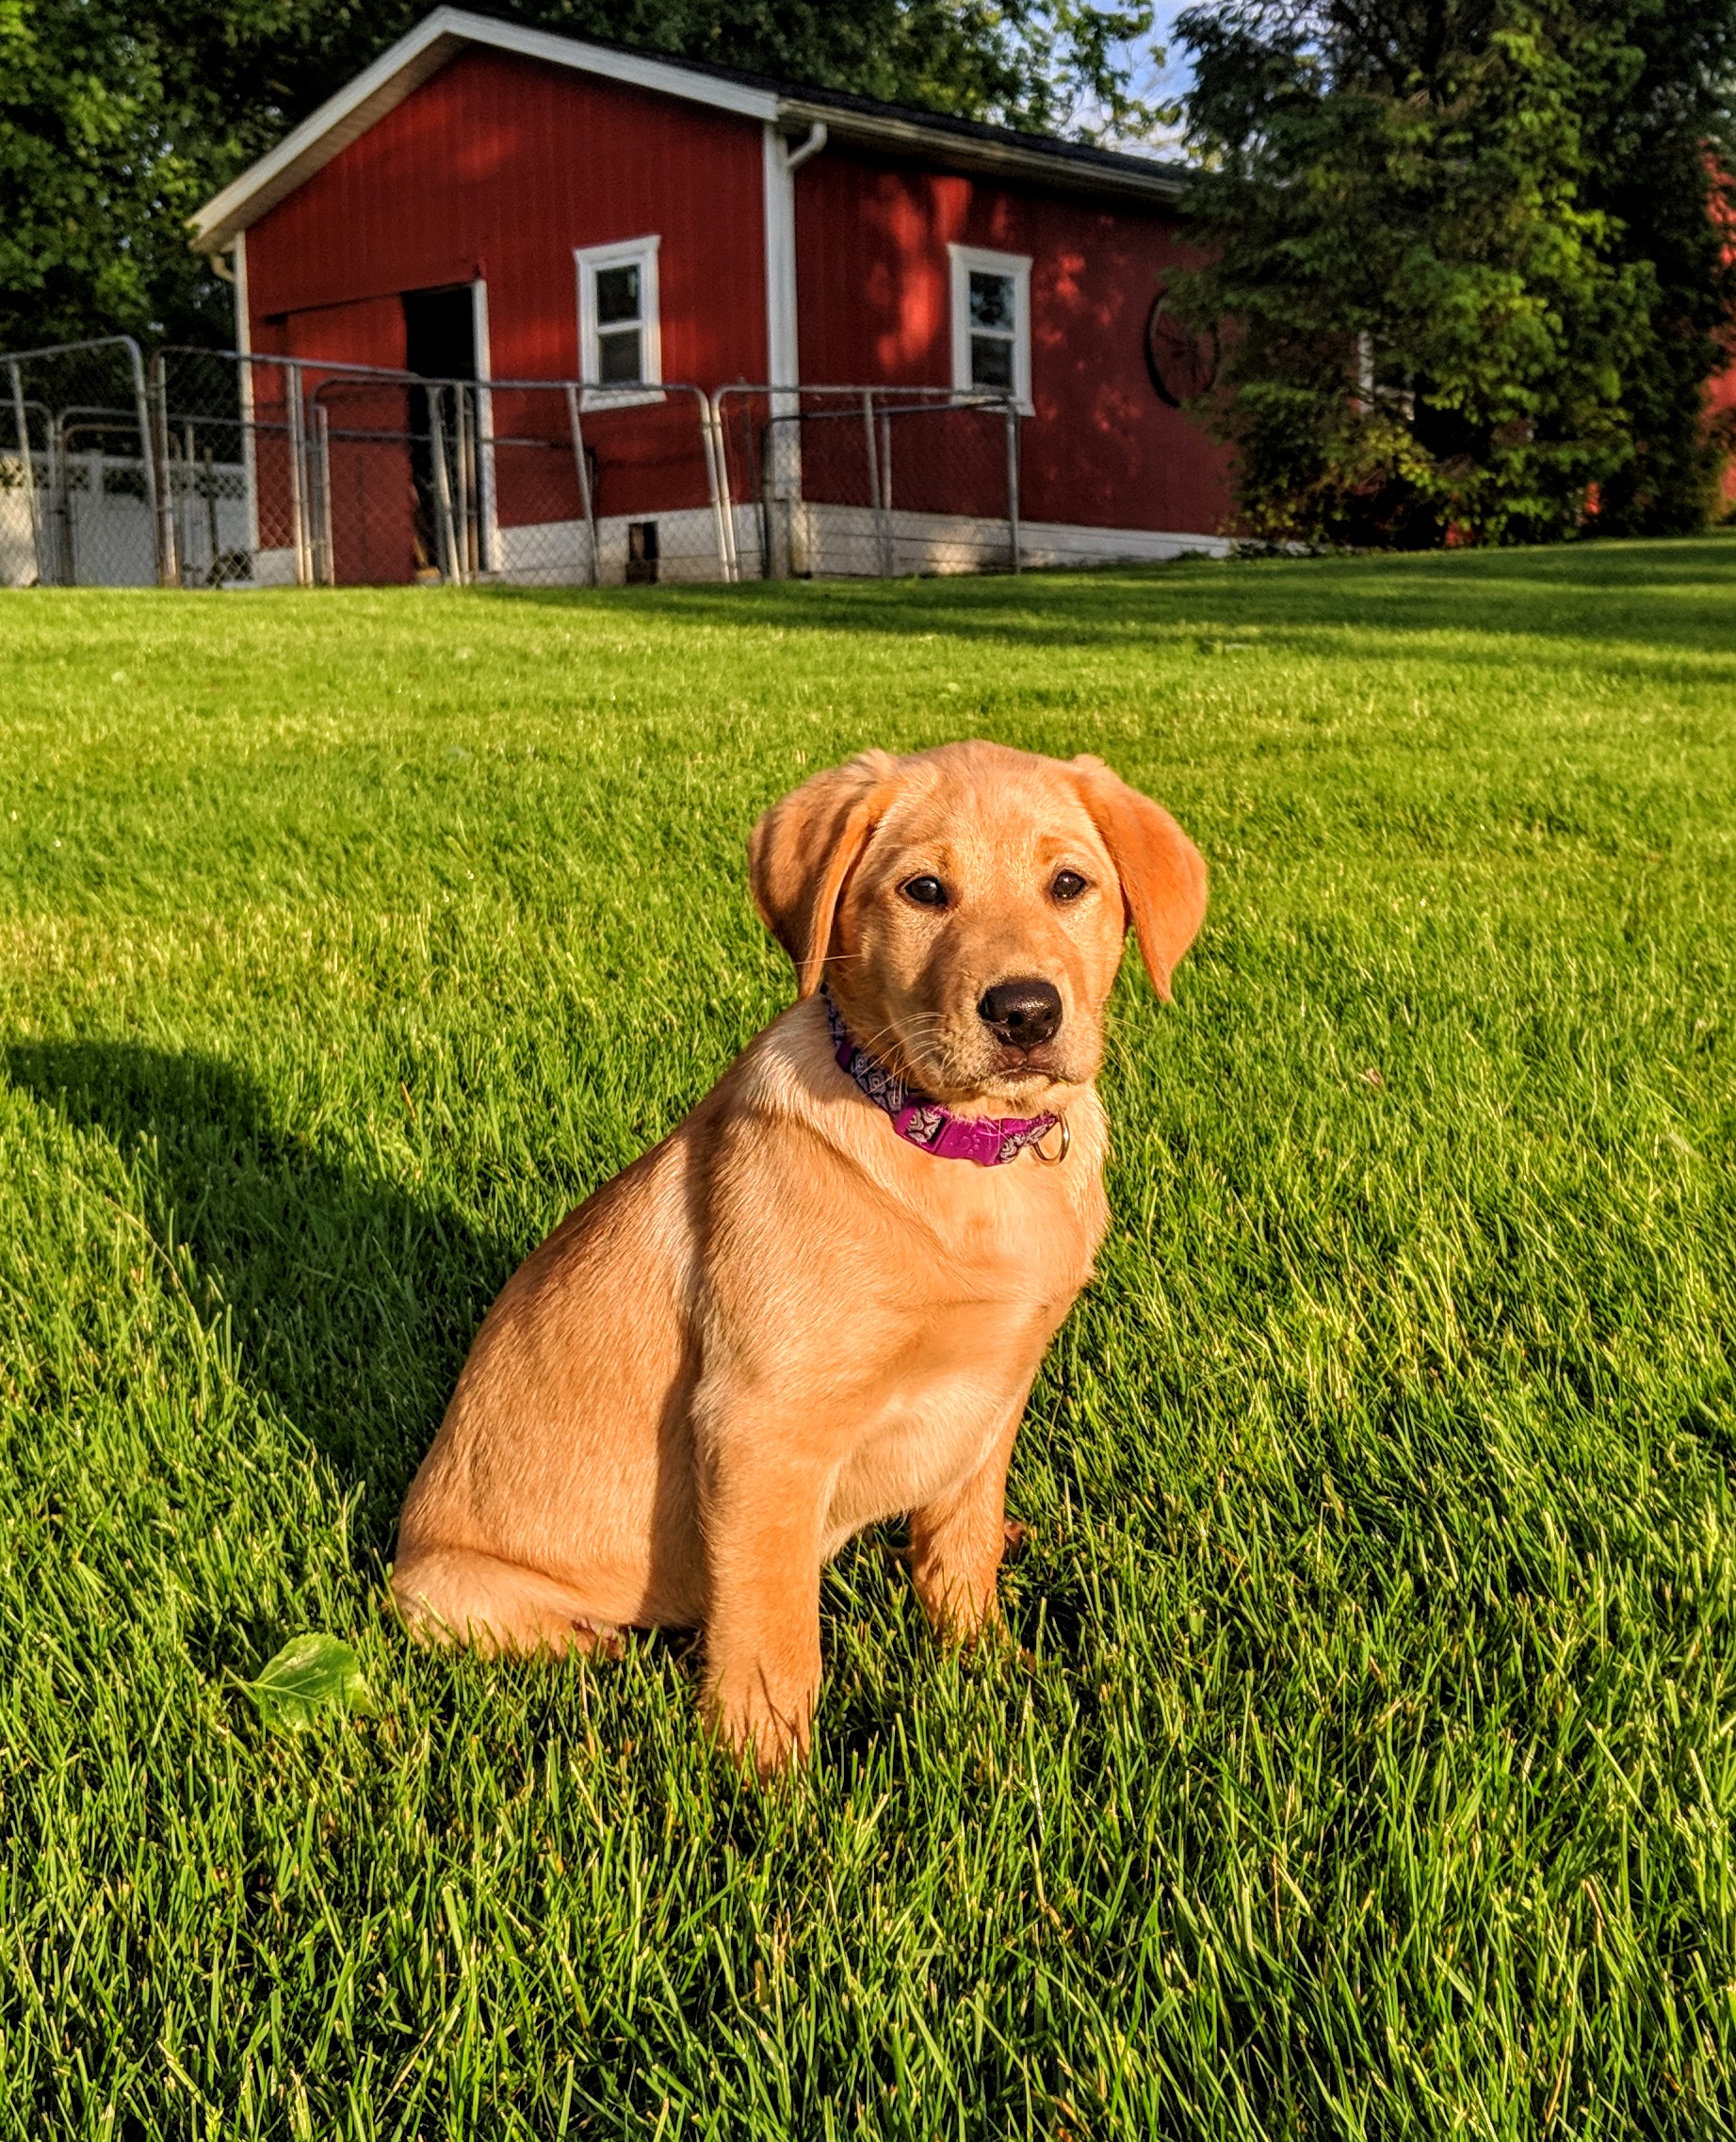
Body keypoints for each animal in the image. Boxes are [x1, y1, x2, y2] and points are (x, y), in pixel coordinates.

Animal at [396, 745, 1200, 1764]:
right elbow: (773, 1630)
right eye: (923, 890)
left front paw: (986, 1665)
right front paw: (763, 1775)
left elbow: (960, 1541)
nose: (1024, 1012)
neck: (958, 1150)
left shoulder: (995, 1389)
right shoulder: (760, 1424)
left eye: (1069, 885)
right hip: (448, 1594)